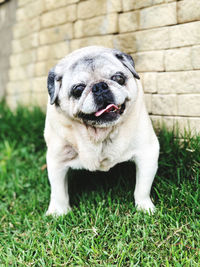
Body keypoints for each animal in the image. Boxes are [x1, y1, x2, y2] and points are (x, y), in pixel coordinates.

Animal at [44, 46, 159, 217]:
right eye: (78, 89)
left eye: (118, 78)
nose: (99, 87)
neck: (100, 133)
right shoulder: (57, 159)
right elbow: (58, 192)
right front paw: (58, 212)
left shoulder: (147, 153)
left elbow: (142, 188)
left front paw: (145, 208)